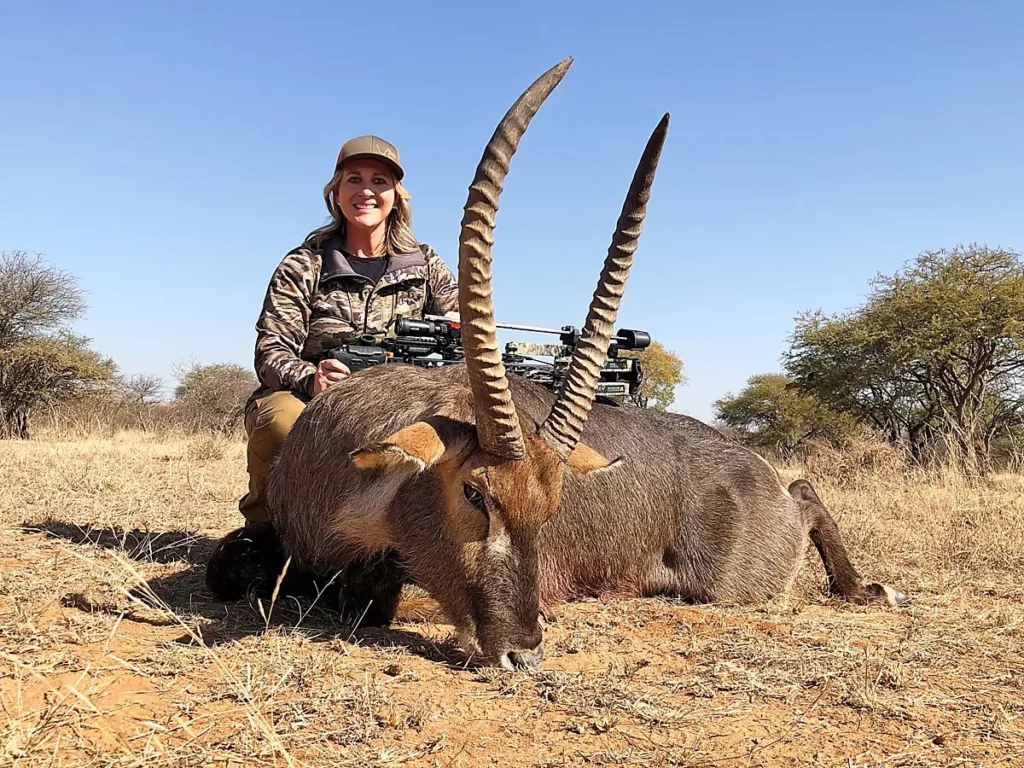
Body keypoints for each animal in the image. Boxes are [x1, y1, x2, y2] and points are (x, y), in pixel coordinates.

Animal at [205, 58, 905, 671]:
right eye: (474, 491)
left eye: (551, 507)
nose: (523, 651)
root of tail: (750, 463)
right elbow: (233, 569)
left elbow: (374, 592)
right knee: (805, 486)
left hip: (733, 581)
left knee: (805, 496)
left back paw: (869, 587)